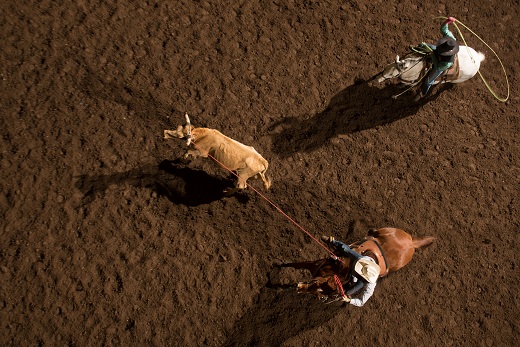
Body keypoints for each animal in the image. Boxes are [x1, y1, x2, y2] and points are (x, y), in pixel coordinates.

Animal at [280, 228, 434, 302]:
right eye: (316, 283)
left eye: (320, 291)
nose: (300, 288)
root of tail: (411, 243)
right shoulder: (315, 265)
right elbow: (291, 265)